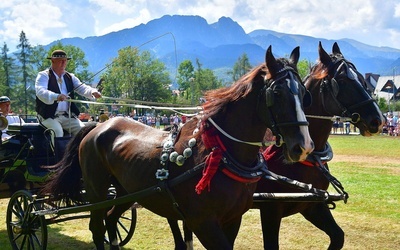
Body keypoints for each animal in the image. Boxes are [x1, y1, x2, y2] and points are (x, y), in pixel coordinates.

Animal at [41, 45, 316, 250]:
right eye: (277, 93)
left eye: (304, 93)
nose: (303, 146)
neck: (221, 151)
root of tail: (98, 126)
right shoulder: (203, 223)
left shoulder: (233, 219)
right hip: (96, 191)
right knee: (97, 228)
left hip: (125, 191)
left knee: (111, 220)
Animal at [255, 42, 386, 249]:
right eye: (342, 81)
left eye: (360, 78)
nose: (378, 120)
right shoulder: (270, 210)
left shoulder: (313, 204)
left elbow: (338, 236)